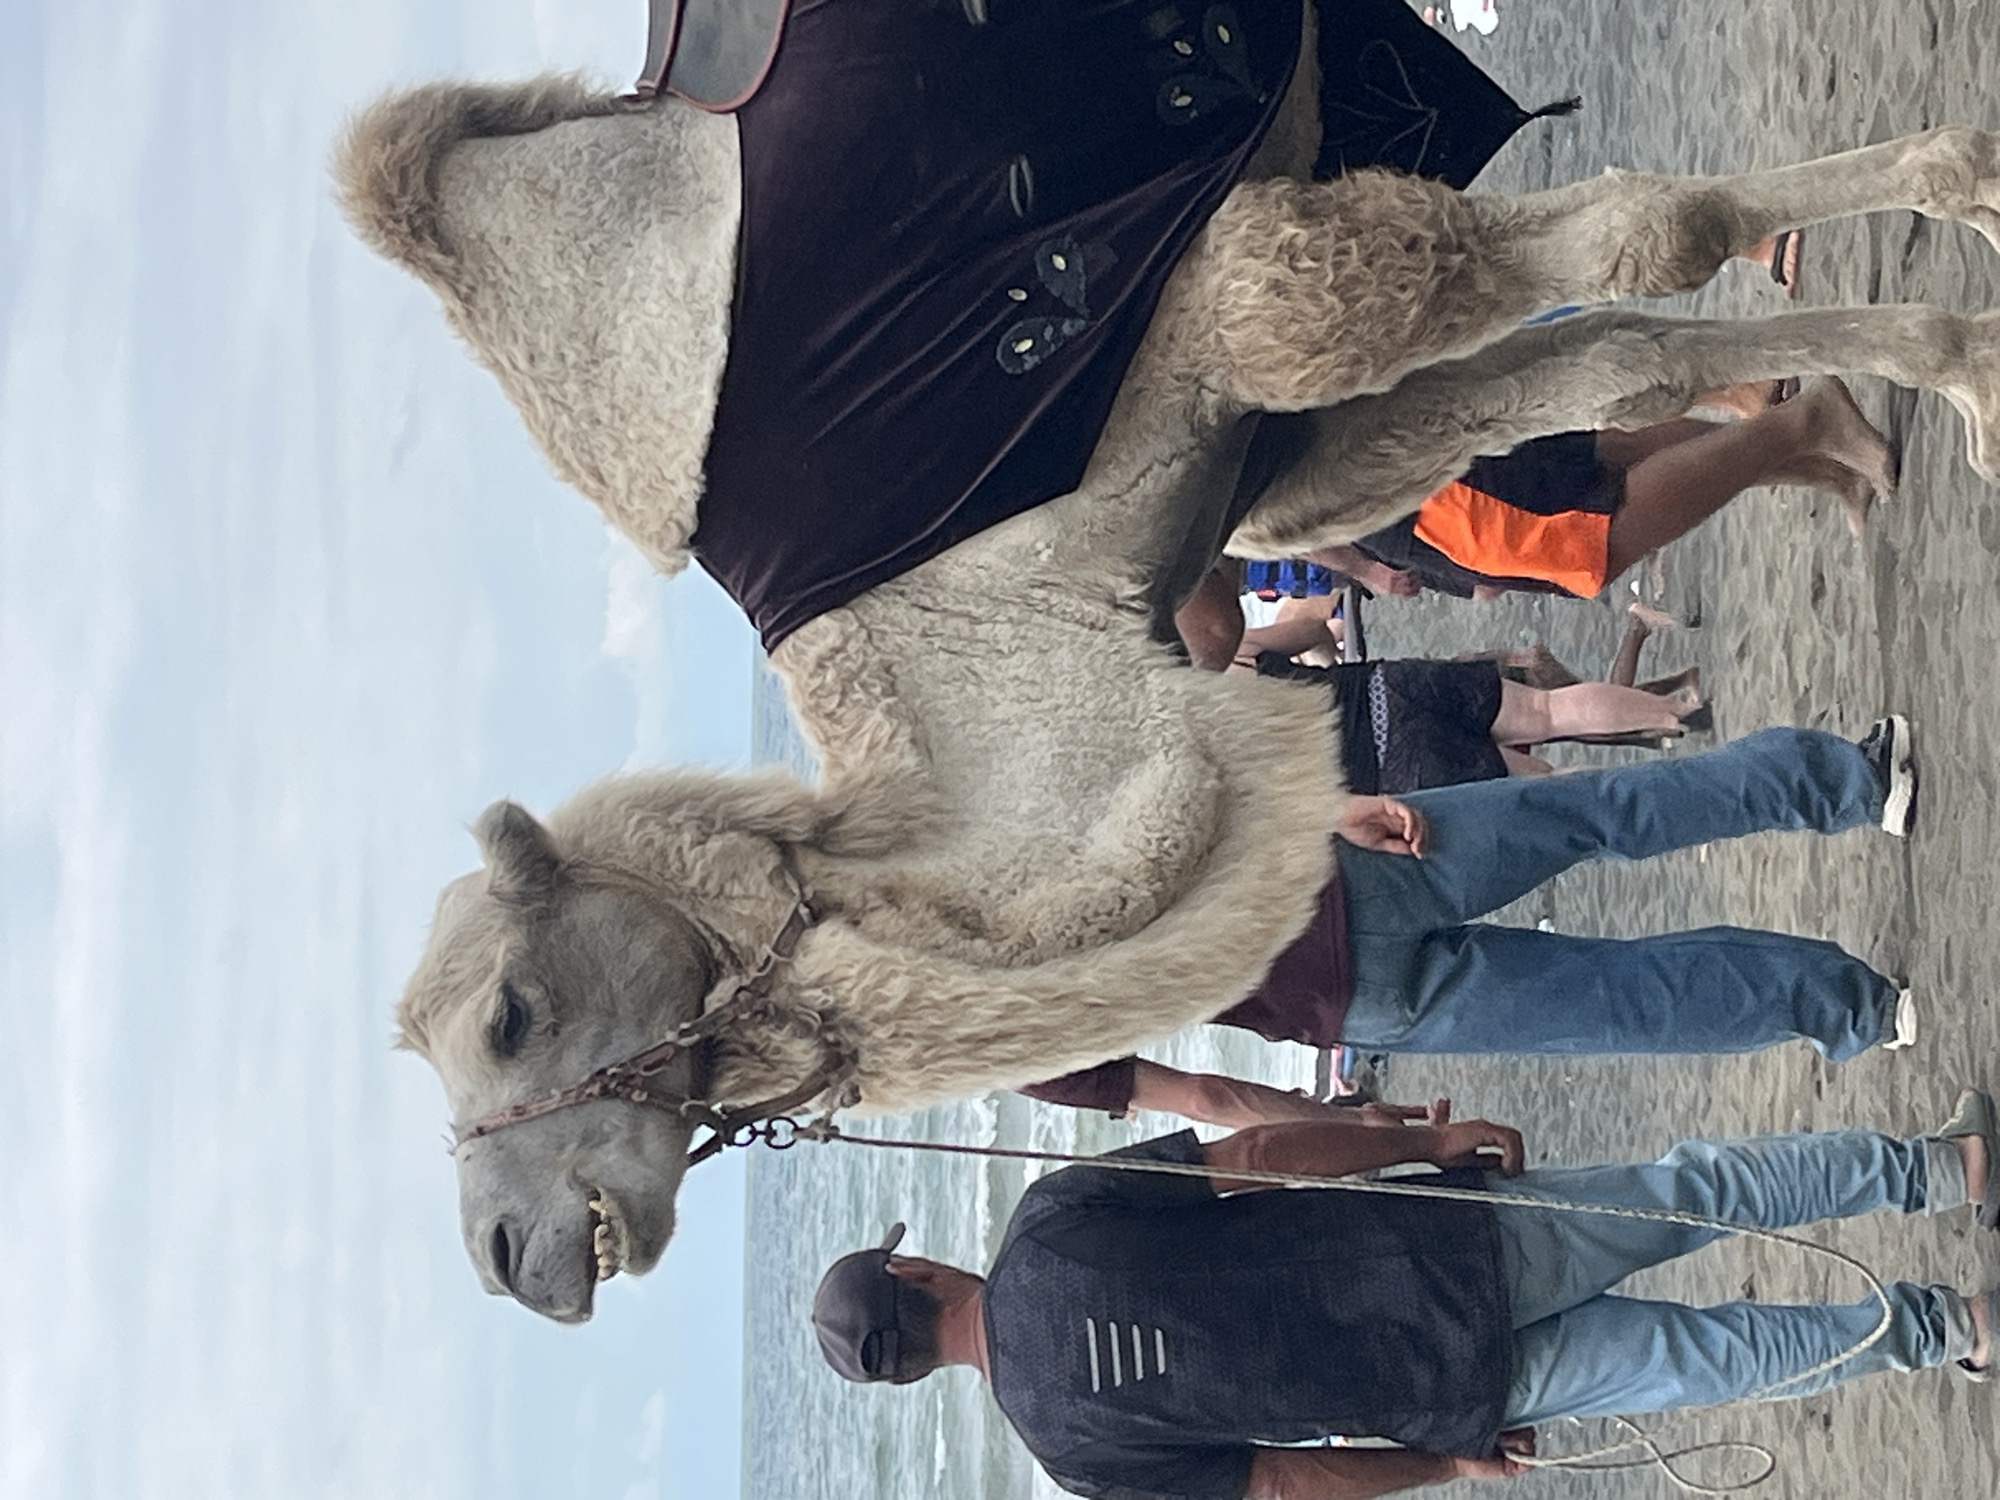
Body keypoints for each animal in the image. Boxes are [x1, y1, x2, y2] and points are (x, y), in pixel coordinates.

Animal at [335, 8, 2000, 1321]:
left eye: (508, 1016)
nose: (518, 1255)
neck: (997, 641)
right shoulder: (1303, 454)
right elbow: (1624, 357)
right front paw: (1945, 352)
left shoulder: (1254, 287)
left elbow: (1650, 231)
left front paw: (1972, 313)